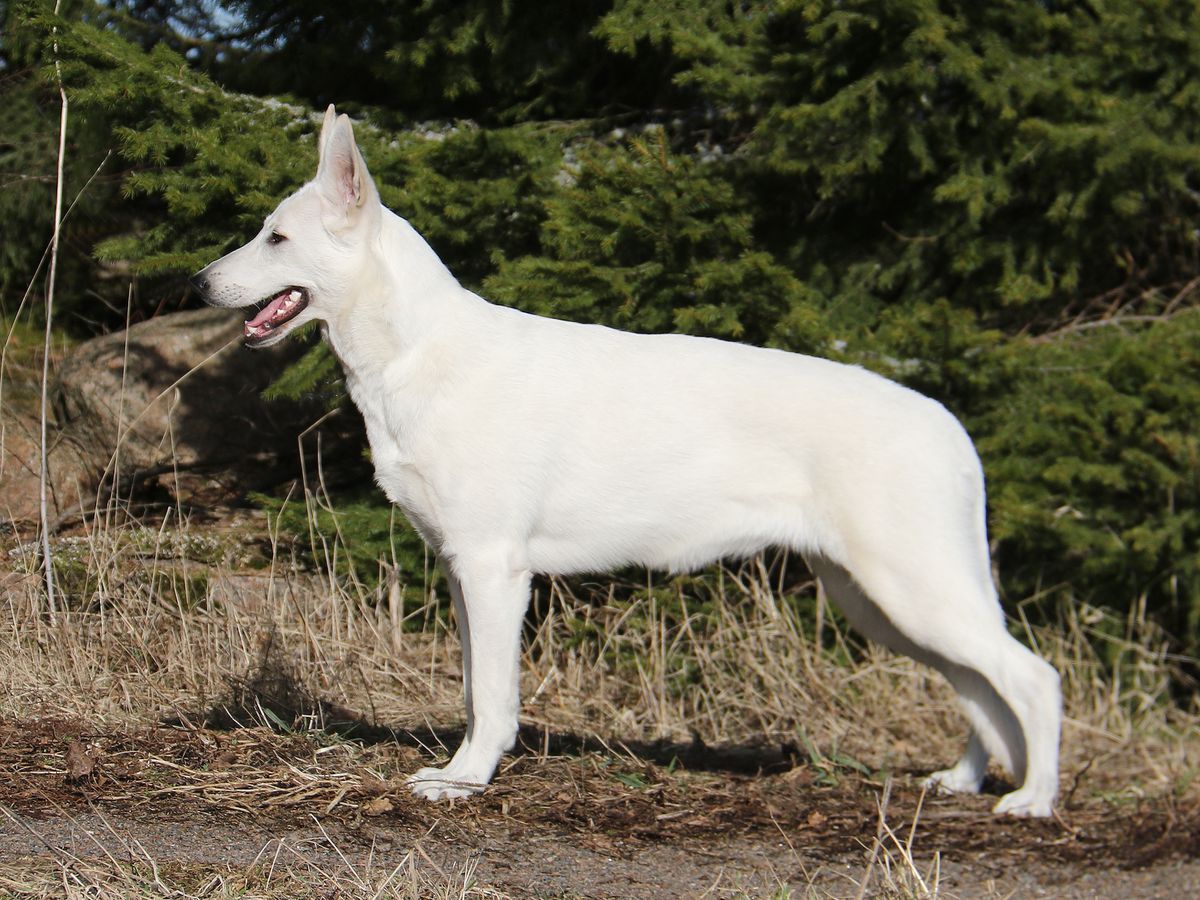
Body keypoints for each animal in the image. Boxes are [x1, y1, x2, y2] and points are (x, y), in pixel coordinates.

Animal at [192, 105, 1065, 816]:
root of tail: (948, 426)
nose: (197, 281)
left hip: (912, 588)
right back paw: (963, 782)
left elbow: (493, 697)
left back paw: (1033, 800)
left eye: (275, 237)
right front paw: (464, 770)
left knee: (1030, 680)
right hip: (880, 601)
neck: (415, 352)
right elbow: (475, 688)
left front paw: (465, 780)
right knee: (980, 688)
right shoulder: (461, 569)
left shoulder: (493, 569)